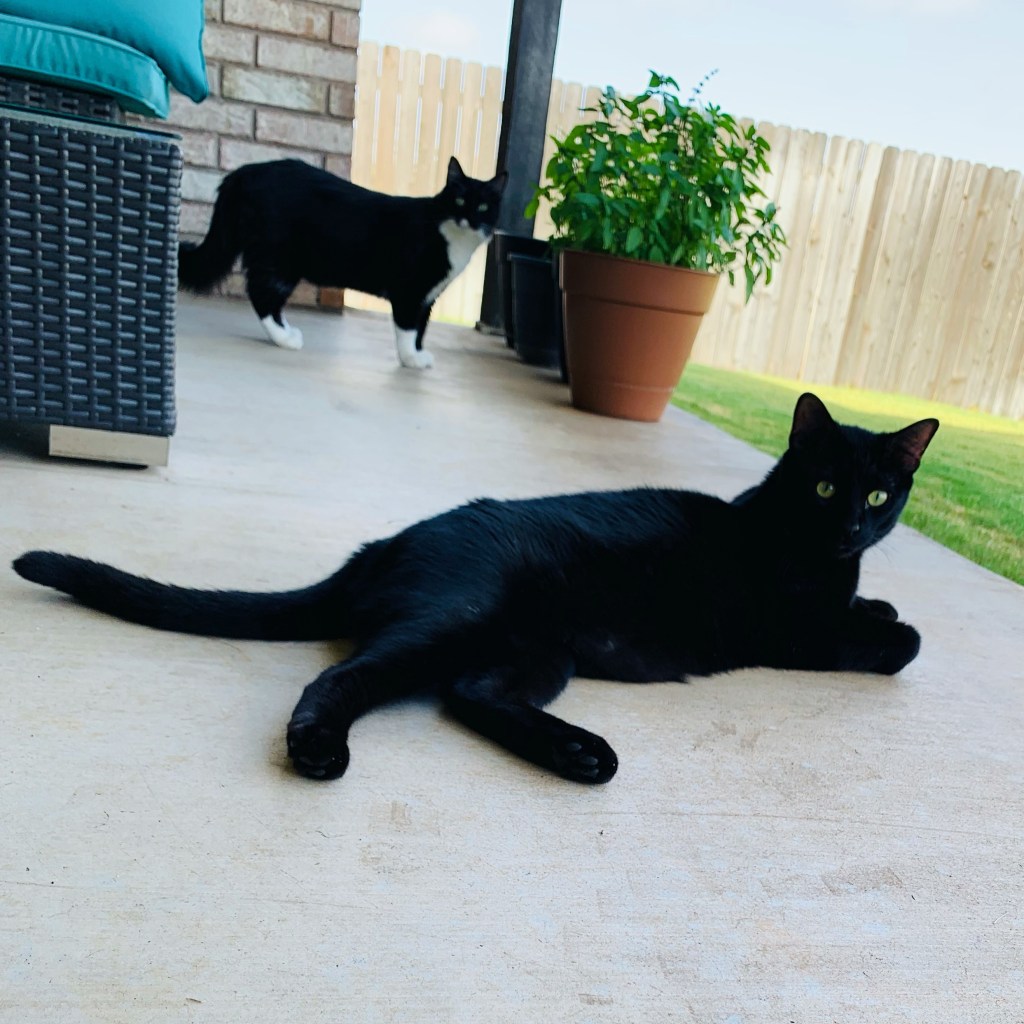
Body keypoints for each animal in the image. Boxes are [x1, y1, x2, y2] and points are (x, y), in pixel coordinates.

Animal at [13, 394, 938, 785]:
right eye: (826, 487)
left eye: (879, 496)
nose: (851, 530)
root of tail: (383, 546)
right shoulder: (794, 628)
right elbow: (897, 641)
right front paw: (889, 621)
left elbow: (875, 608)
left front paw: (880, 599)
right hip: (460, 617)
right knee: (341, 677)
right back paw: (319, 752)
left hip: (539, 652)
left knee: (471, 694)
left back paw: (580, 755)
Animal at [178, 156, 508, 368]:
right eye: (460, 200)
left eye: (482, 206)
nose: (469, 219)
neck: (451, 237)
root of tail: (244, 171)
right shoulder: (410, 292)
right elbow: (407, 328)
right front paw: (410, 359)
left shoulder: (428, 298)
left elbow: (420, 329)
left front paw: (417, 354)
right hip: (280, 258)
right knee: (262, 294)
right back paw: (285, 338)